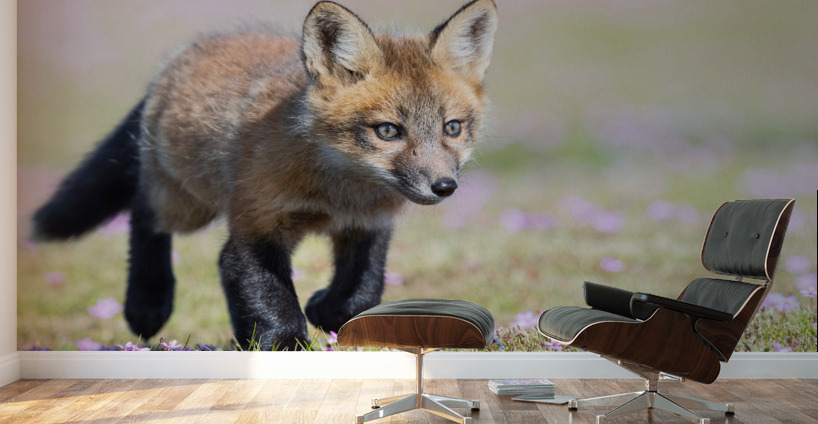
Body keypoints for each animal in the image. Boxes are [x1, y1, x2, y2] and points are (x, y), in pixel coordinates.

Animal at [31, 0, 498, 350]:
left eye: (452, 128)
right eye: (387, 131)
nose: (445, 187)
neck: (337, 194)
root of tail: (187, 52)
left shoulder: (367, 226)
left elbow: (358, 294)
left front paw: (323, 309)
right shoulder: (256, 226)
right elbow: (270, 299)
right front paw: (284, 347)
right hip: (186, 205)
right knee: (142, 214)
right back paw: (148, 303)